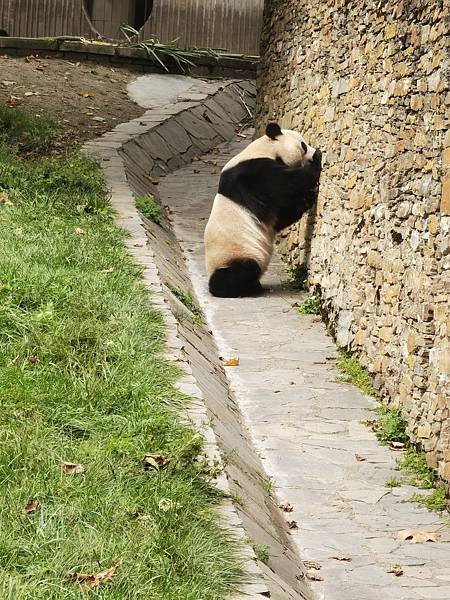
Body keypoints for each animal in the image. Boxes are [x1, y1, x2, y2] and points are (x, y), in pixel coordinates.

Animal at [204, 122, 324, 298]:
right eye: (303, 145)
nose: (313, 151)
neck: (266, 148)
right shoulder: (253, 174)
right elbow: (287, 182)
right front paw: (318, 159)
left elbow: (280, 217)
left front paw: (308, 198)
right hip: (235, 254)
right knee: (243, 269)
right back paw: (242, 288)